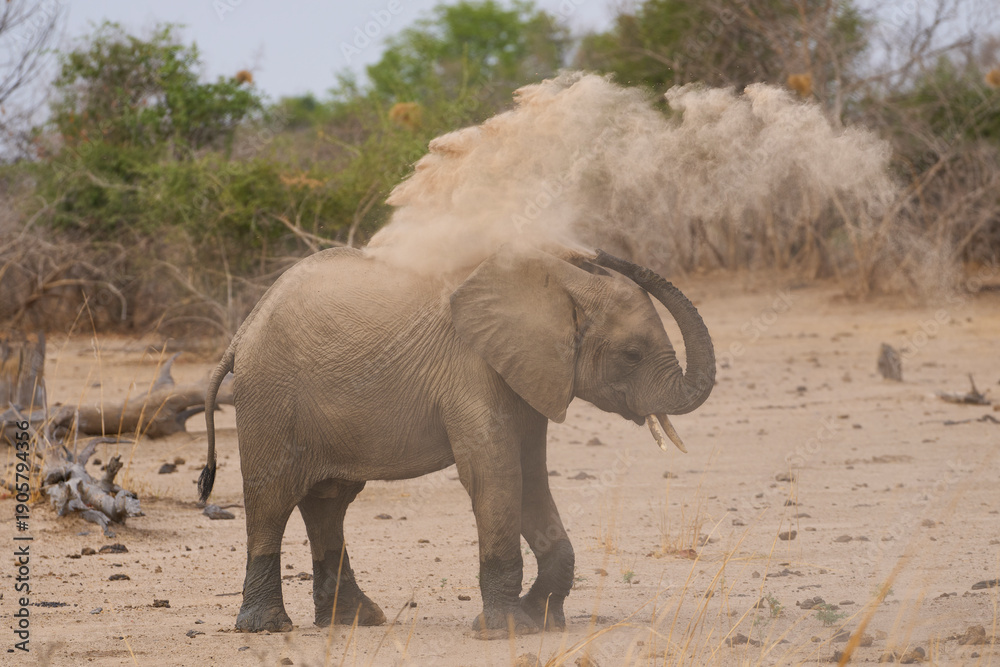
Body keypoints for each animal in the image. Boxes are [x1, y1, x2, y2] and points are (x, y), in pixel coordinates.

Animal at [198, 244, 715, 637]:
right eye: (632, 354)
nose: (597, 252)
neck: (556, 283)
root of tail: (243, 331)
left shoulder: (526, 377)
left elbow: (531, 480)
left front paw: (541, 618)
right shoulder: (473, 370)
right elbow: (496, 476)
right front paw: (506, 629)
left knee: (329, 502)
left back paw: (356, 620)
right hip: (270, 397)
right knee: (272, 499)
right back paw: (267, 627)